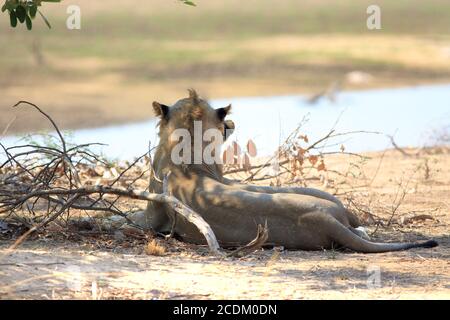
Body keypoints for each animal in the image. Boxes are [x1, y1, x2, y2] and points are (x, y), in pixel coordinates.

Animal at [128, 89, 438, 252]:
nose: (232, 123)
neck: (188, 147)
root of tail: (323, 217)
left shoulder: (153, 216)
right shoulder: (225, 179)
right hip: (328, 205)